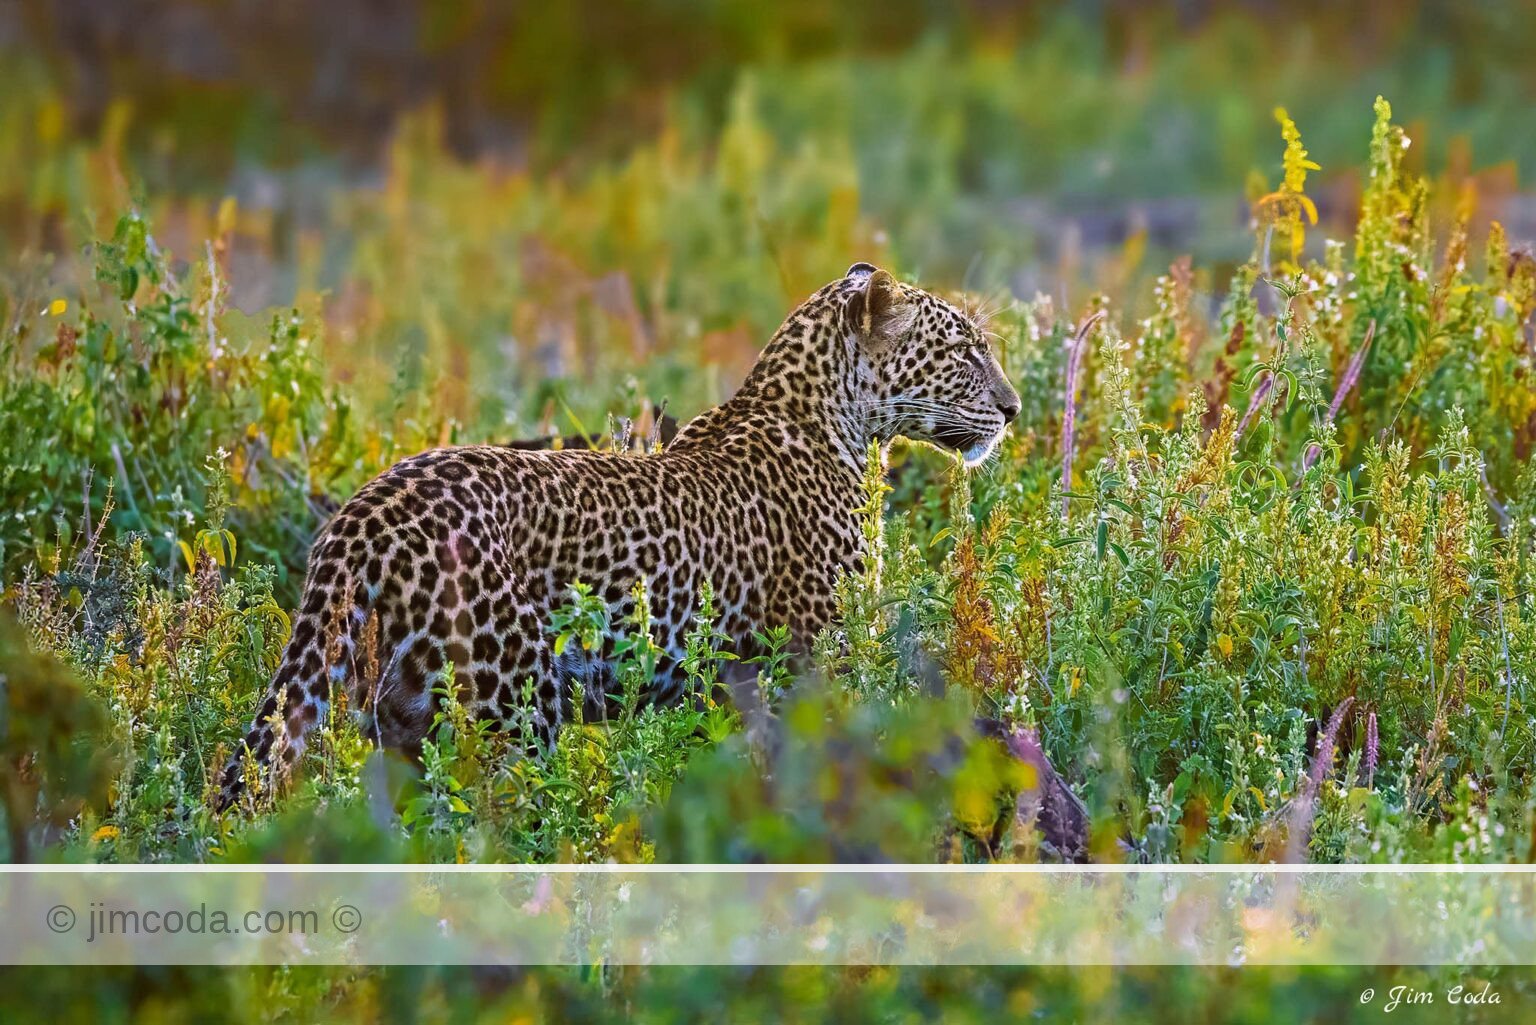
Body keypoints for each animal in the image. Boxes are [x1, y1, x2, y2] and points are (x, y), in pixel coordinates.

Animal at [214, 262, 1020, 810]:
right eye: (965, 352)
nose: (1013, 408)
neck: (841, 424)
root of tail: (365, 511)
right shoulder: (817, 659)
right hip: (512, 708)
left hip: (397, 714)